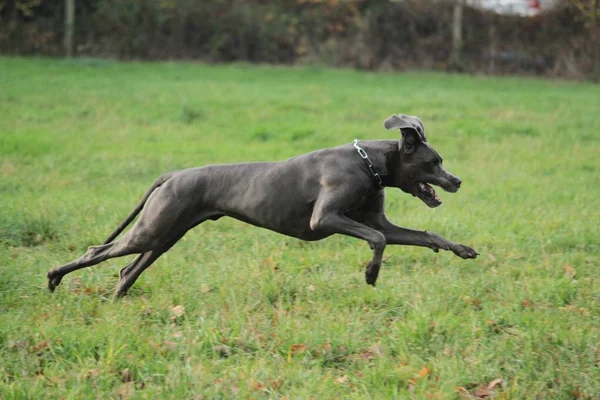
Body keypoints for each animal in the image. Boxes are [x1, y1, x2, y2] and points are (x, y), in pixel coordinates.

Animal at [47, 113, 478, 296]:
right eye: (434, 162)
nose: (457, 180)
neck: (369, 163)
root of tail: (173, 174)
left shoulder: (380, 221)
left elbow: (423, 235)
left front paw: (461, 249)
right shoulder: (326, 219)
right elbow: (378, 240)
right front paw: (371, 274)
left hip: (165, 236)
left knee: (126, 270)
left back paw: (116, 299)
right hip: (152, 230)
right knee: (98, 250)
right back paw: (54, 277)